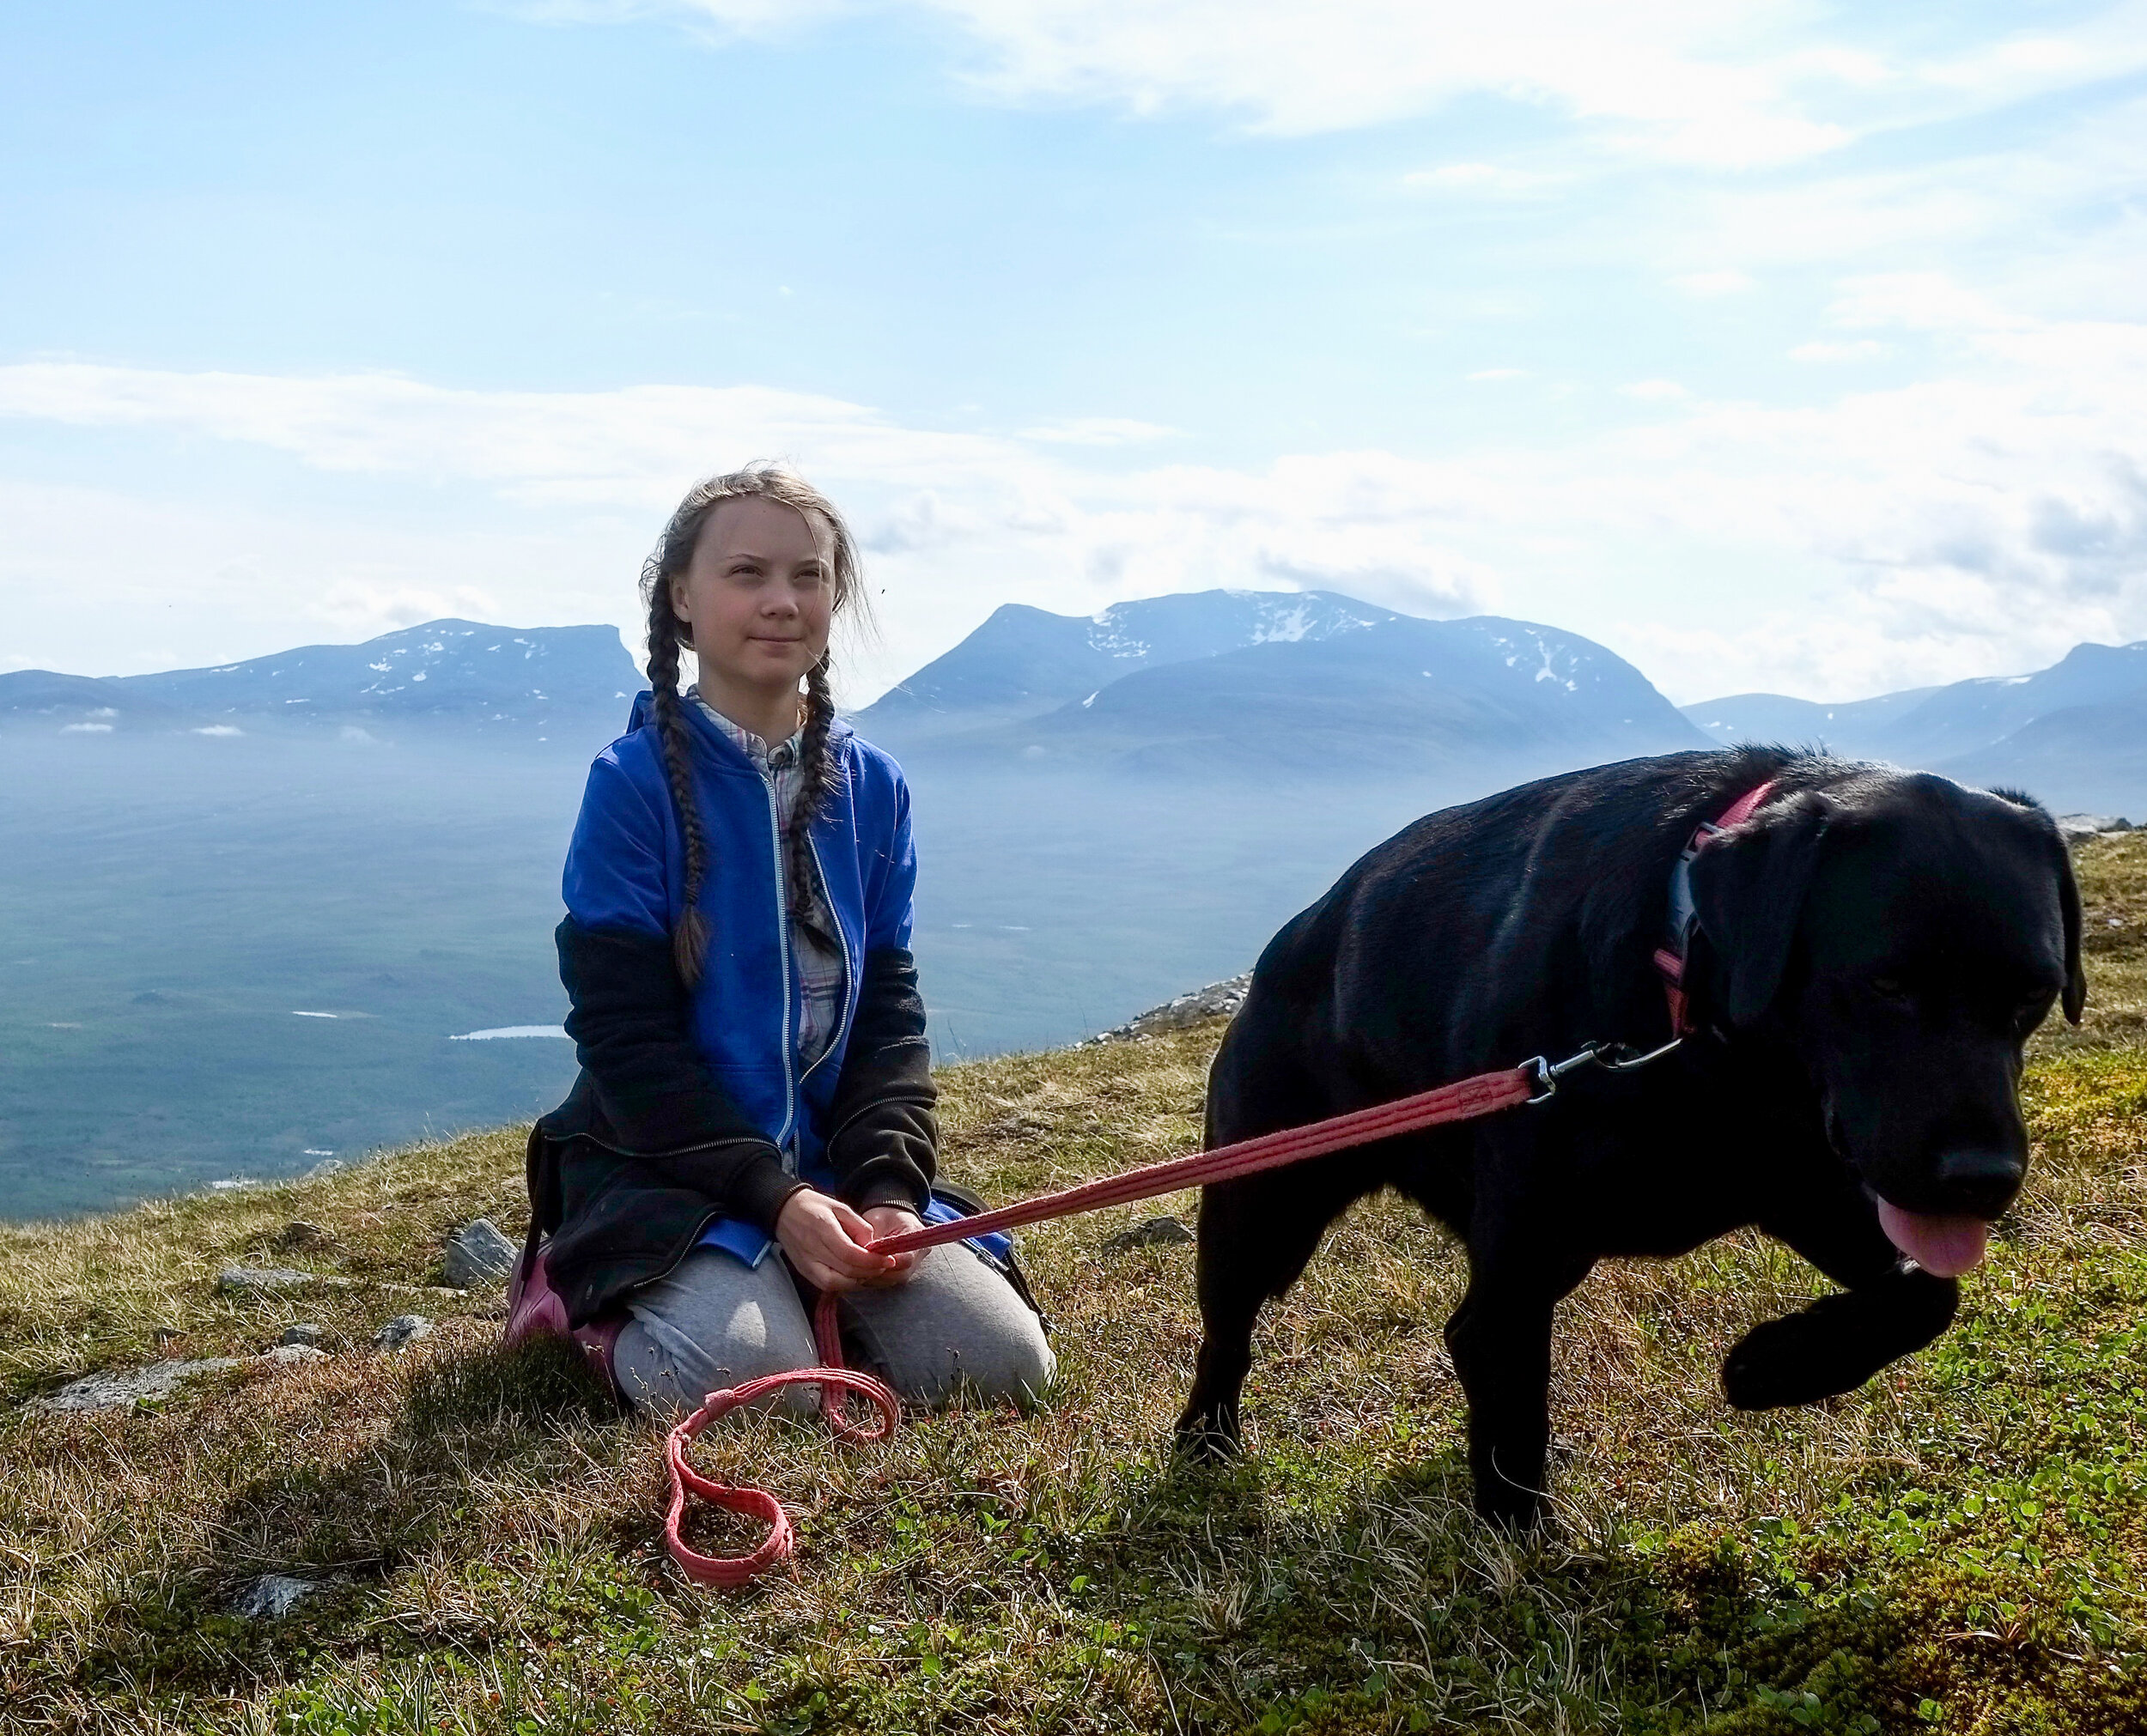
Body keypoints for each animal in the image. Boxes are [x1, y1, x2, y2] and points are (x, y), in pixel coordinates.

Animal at [1177, 746, 2078, 1519]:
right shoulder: (1523, 1251)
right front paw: (1519, 1549)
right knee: (1231, 1334)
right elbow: (1510, 1397)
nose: (1984, 1179)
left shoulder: (1805, 1184)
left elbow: (1927, 1293)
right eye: (1886, 983)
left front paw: (1773, 1367)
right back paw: (1204, 1441)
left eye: (2037, 993)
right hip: (1261, 1207)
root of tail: (1282, 952)